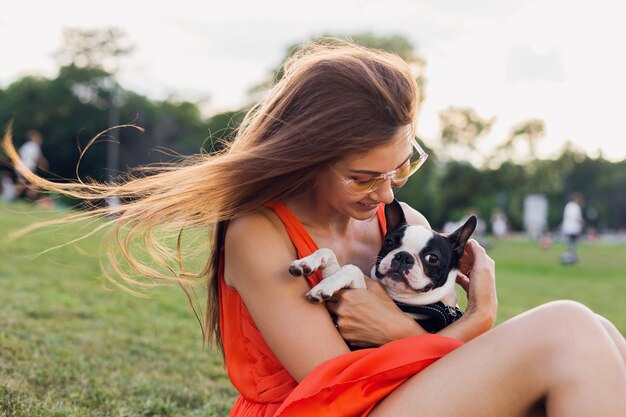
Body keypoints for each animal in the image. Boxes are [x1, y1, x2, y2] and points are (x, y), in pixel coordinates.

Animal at [290, 198, 476, 332]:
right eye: (389, 242)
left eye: (432, 258)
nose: (404, 256)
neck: (398, 299)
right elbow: (328, 252)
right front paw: (306, 263)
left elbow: (352, 269)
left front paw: (324, 287)